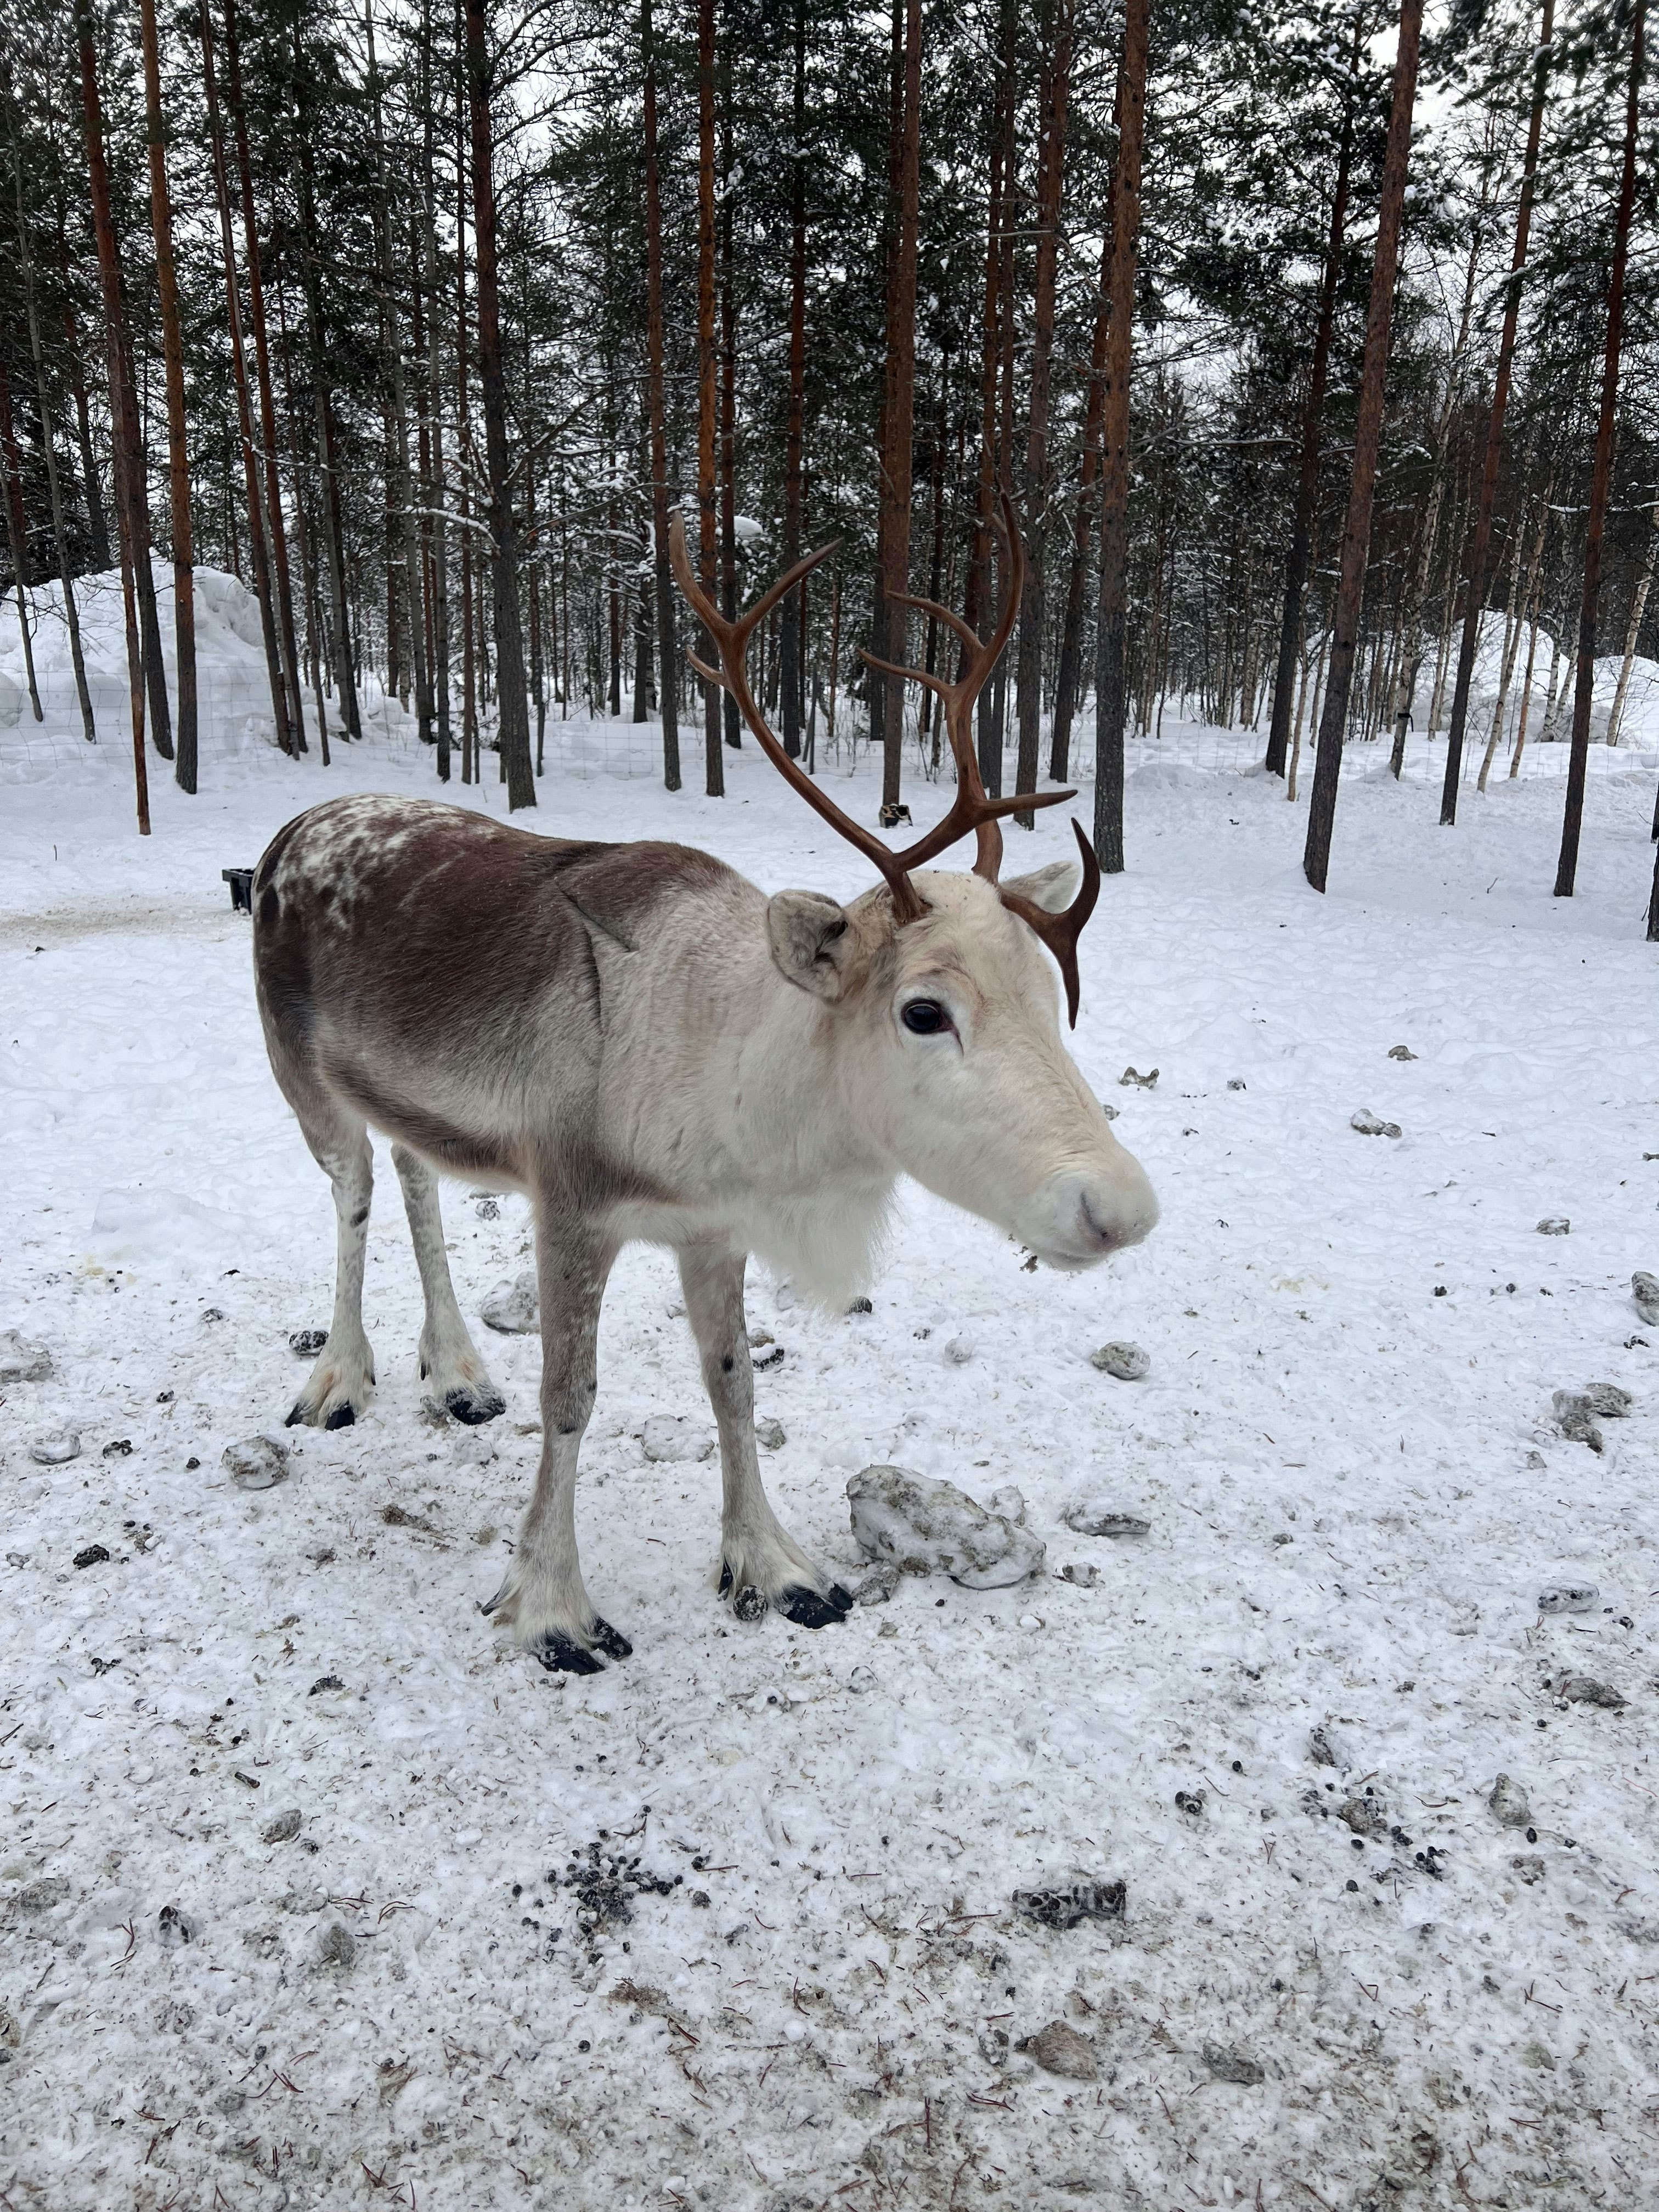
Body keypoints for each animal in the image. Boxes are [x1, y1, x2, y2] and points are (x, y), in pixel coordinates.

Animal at [250, 494, 1157, 1673]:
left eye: (1049, 992)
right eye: (923, 1010)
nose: (1119, 1207)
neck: (735, 1085)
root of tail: (287, 832)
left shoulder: (712, 1225)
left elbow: (734, 1382)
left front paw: (772, 1565)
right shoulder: (573, 1202)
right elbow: (570, 1396)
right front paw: (552, 1604)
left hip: (404, 1095)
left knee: (413, 1177)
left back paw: (455, 1373)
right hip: (302, 1075)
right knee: (354, 1195)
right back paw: (339, 1380)